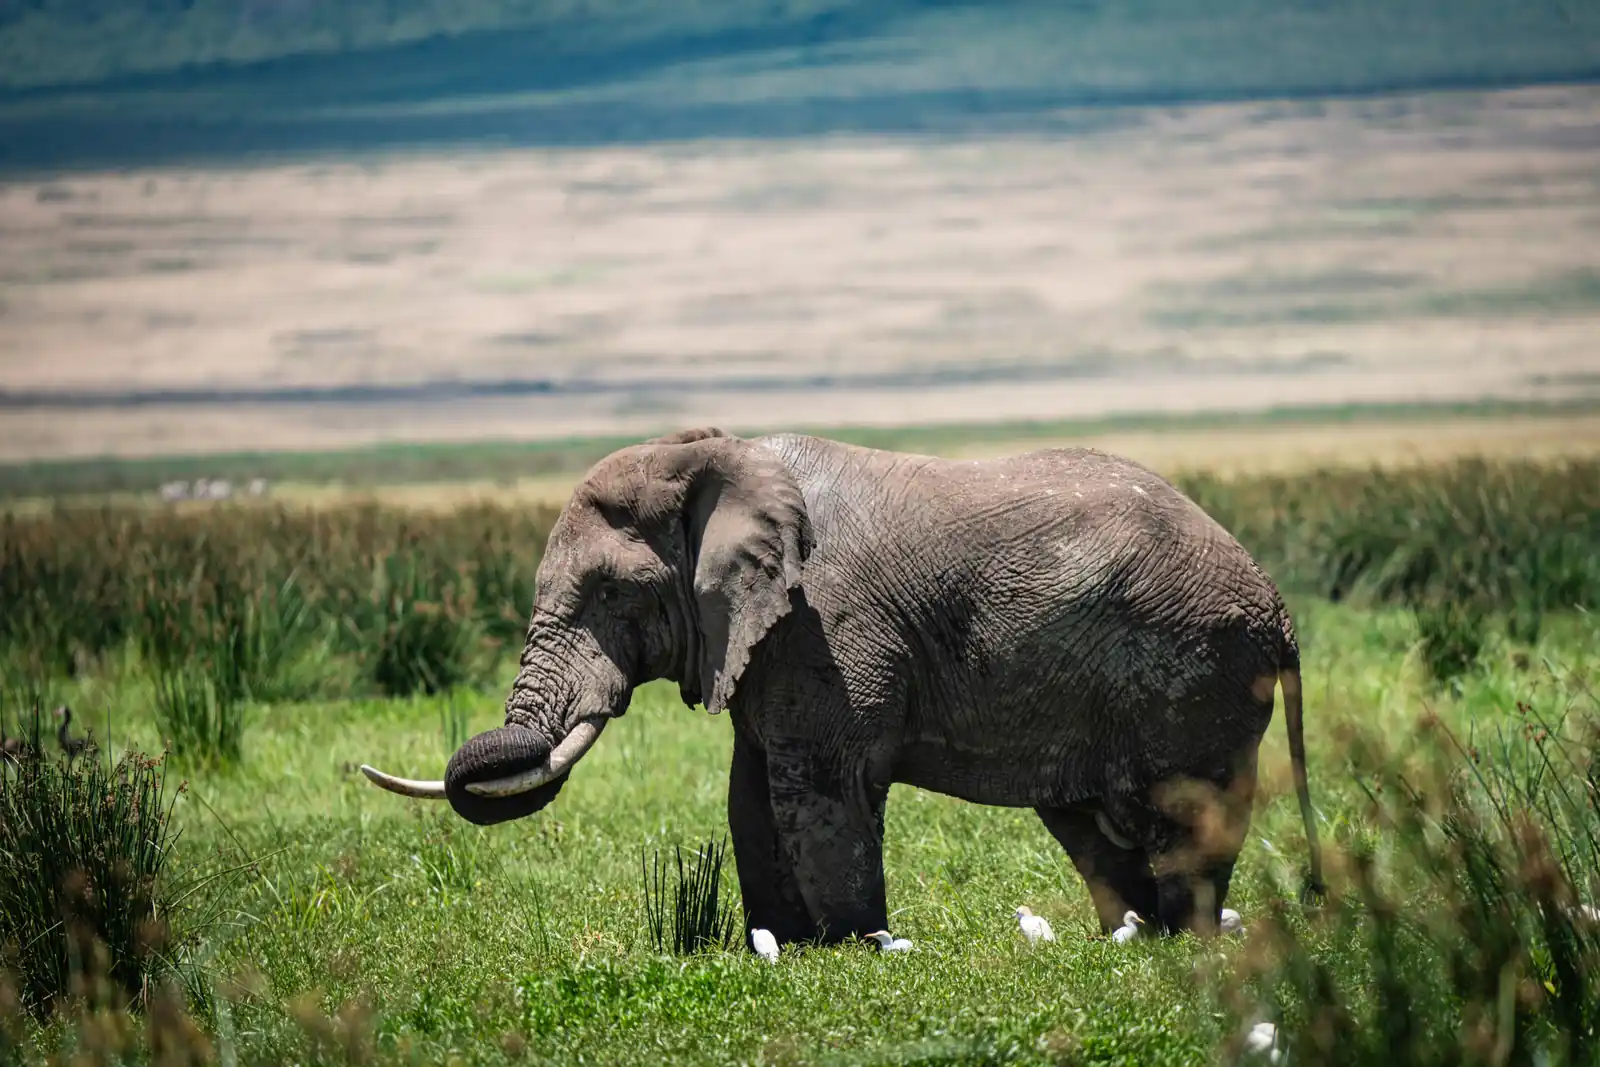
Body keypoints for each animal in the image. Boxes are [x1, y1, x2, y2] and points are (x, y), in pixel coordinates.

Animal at [362, 427, 1323, 945]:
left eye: (610, 592)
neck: (719, 454)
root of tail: (1280, 605)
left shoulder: (824, 625)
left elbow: (824, 786)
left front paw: (857, 948)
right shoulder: (766, 642)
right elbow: (751, 792)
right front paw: (780, 945)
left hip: (1199, 673)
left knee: (1183, 821)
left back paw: (1187, 938)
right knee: (1094, 827)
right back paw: (1137, 936)